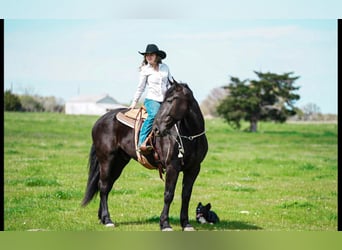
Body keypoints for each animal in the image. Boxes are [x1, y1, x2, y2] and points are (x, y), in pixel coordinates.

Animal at [81, 81, 207, 231]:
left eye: (170, 100)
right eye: (165, 100)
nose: (156, 129)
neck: (191, 137)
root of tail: (100, 120)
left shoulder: (194, 169)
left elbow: (186, 195)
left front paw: (186, 224)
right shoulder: (172, 167)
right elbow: (168, 194)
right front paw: (165, 223)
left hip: (119, 162)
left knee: (107, 185)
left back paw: (102, 218)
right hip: (107, 159)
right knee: (104, 186)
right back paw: (107, 220)